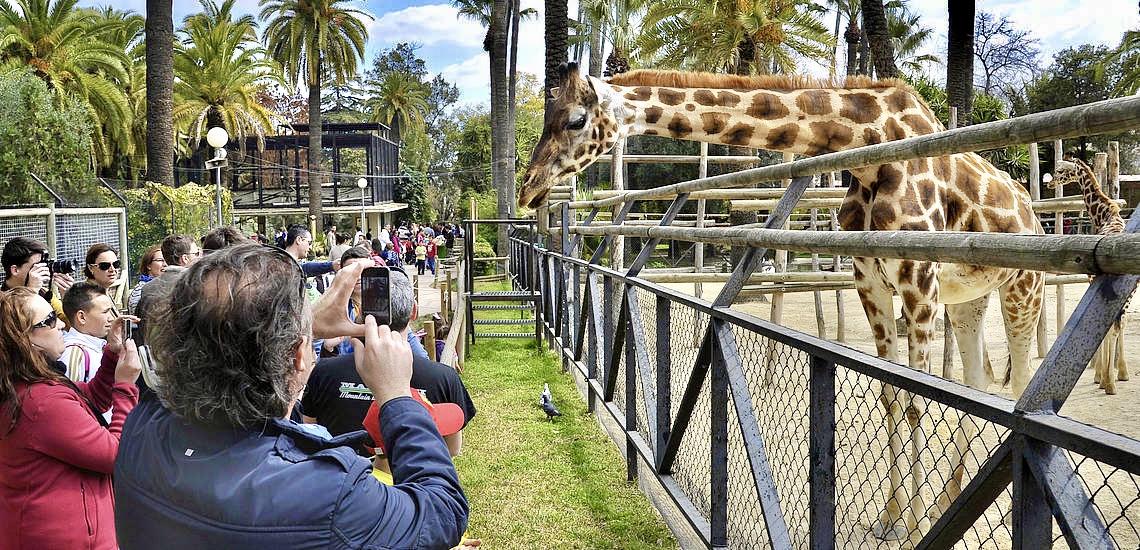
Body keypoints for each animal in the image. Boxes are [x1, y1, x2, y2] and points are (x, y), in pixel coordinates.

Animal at [522, 62, 1044, 543]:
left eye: (574, 119)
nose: (529, 186)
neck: (870, 147)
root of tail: (1031, 209)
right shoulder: (871, 281)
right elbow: (892, 397)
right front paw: (893, 518)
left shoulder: (917, 279)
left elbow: (917, 402)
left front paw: (913, 527)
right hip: (967, 300)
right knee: (980, 381)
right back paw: (947, 498)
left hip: (1023, 287)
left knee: (1018, 382)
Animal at [1044, 156, 1126, 392]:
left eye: (1060, 170)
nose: (1049, 183)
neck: (1104, 215)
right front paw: (1112, 374)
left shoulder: (1092, 281)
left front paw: (1102, 376)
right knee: (1118, 326)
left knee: (1113, 327)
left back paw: (1109, 382)